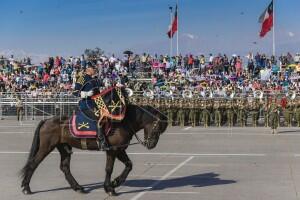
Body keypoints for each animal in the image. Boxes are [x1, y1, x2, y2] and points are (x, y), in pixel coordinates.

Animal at [19, 104, 168, 197]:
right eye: (157, 128)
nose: (151, 145)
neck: (123, 122)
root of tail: (46, 120)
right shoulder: (112, 151)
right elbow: (109, 169)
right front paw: (110, 188)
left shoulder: (119, 149)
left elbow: (129, 165)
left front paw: (116, 182)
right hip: (46, 147)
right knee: (33, 164)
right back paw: (26, 188)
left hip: (64, 148)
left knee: (65, 167)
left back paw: (78, 187)